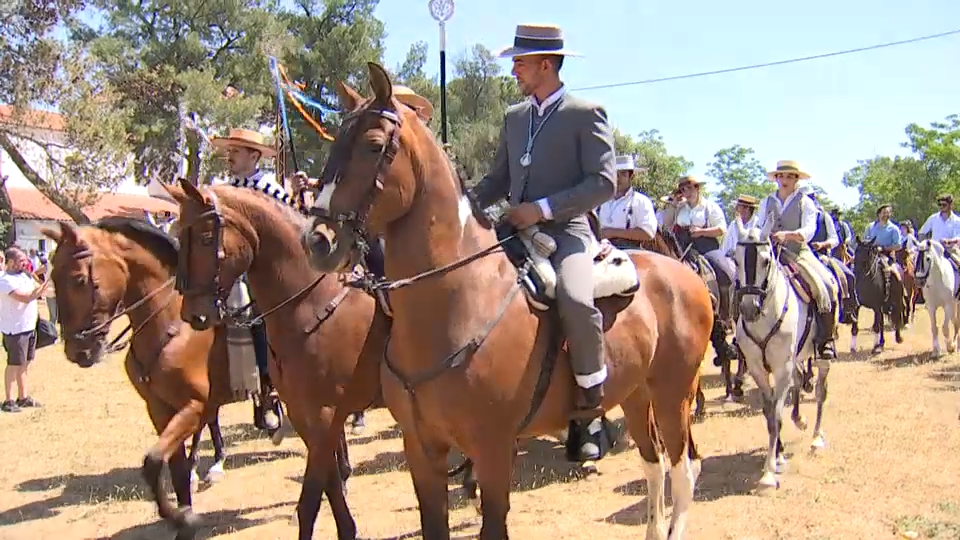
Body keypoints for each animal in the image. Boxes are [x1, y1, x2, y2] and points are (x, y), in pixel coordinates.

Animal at [42, 217, 232, 536]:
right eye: (52, 278)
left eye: (79, 279)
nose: (77, 351)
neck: (173, 324)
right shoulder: (160, 410)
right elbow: (176, 470)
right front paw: (184, 518)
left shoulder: (193, 405)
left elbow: (153, 462)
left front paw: (180, 517)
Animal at [166, 180, 386, 540]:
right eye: (178, 236)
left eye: (206, 237)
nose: (194, 315)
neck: (311, 301)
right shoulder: (305, 416)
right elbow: (329, 487)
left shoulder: (325, 415)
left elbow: (310, 500)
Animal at [300, 63, 712, 540]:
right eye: (334, 143)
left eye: (372, 146)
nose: (317, 241)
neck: (458, 301)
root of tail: (683, 273)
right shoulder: (422, 451)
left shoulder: (493, 450)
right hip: (635, 394)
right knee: (654, 464)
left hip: (673, 394)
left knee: (683, 469)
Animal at [736, 215, 832, 490]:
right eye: (735, 259)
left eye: (766, 260)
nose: (749, 308)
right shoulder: (758, 369)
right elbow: (770, 413)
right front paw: (776, 456)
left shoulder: (781, 369)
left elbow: (777, 412)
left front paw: (769, 473)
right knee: (799, 381)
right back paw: (800, 420)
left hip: (820, 358)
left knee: (820, 392)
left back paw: (816, 438)